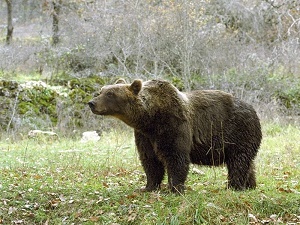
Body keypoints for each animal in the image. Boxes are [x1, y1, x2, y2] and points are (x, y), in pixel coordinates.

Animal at [88, 79, 262, 193]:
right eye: (101, 91)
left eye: (110, 93)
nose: (91, 103)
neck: (150, 118)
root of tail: (253, 109)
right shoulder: (145, 136)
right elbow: (150, 160)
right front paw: (147, 187)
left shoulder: (173, 125)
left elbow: (176, 158)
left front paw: (174, 188)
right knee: (247, 163)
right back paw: (250, 185)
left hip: (238, 132)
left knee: (238, 162)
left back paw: (233, 186)